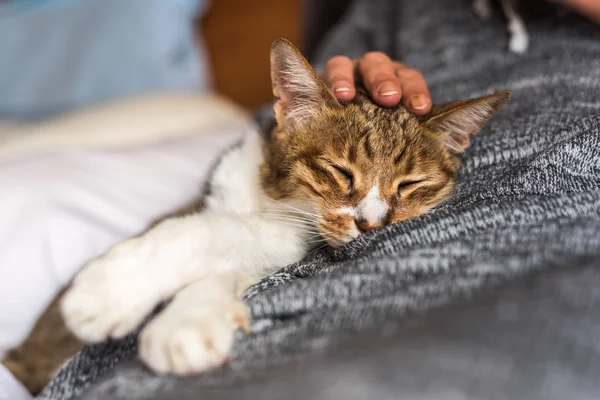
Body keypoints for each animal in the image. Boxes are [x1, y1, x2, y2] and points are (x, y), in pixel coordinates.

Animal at [1, 38, 510, 390]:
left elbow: (228, 242)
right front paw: (118, 290)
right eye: (339, 171)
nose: (371, 224)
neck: (269, 197)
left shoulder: (293, 238)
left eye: (410, 186)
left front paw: (181, 322)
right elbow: (210, 229)